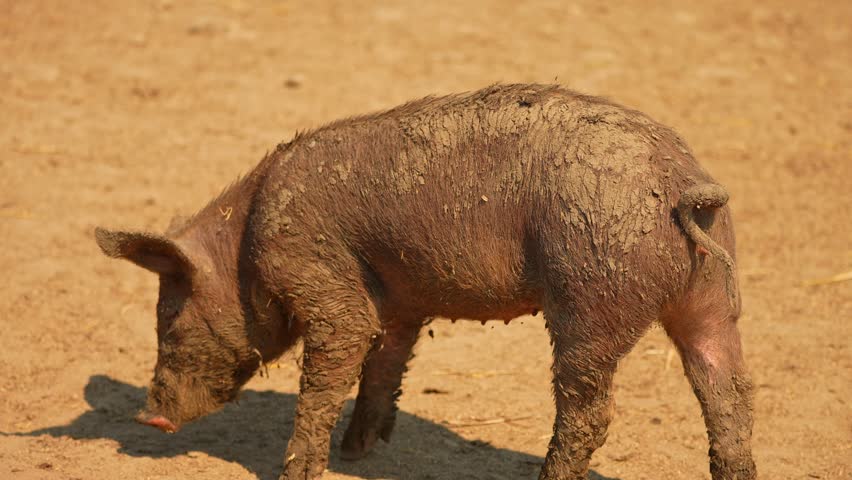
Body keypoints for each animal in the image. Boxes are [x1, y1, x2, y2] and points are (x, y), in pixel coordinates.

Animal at [95, 84, 755, 480]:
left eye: (169, 317)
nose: (147, 418)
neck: (247, 240)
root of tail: (684, 186)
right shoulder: (400, 303)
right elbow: (383, 364)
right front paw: (358, 450)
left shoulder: (324, 284)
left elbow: (335, 362)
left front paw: (301, 470)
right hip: (713, 300)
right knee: (730, 393)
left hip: (589, 299)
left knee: (589, 414)